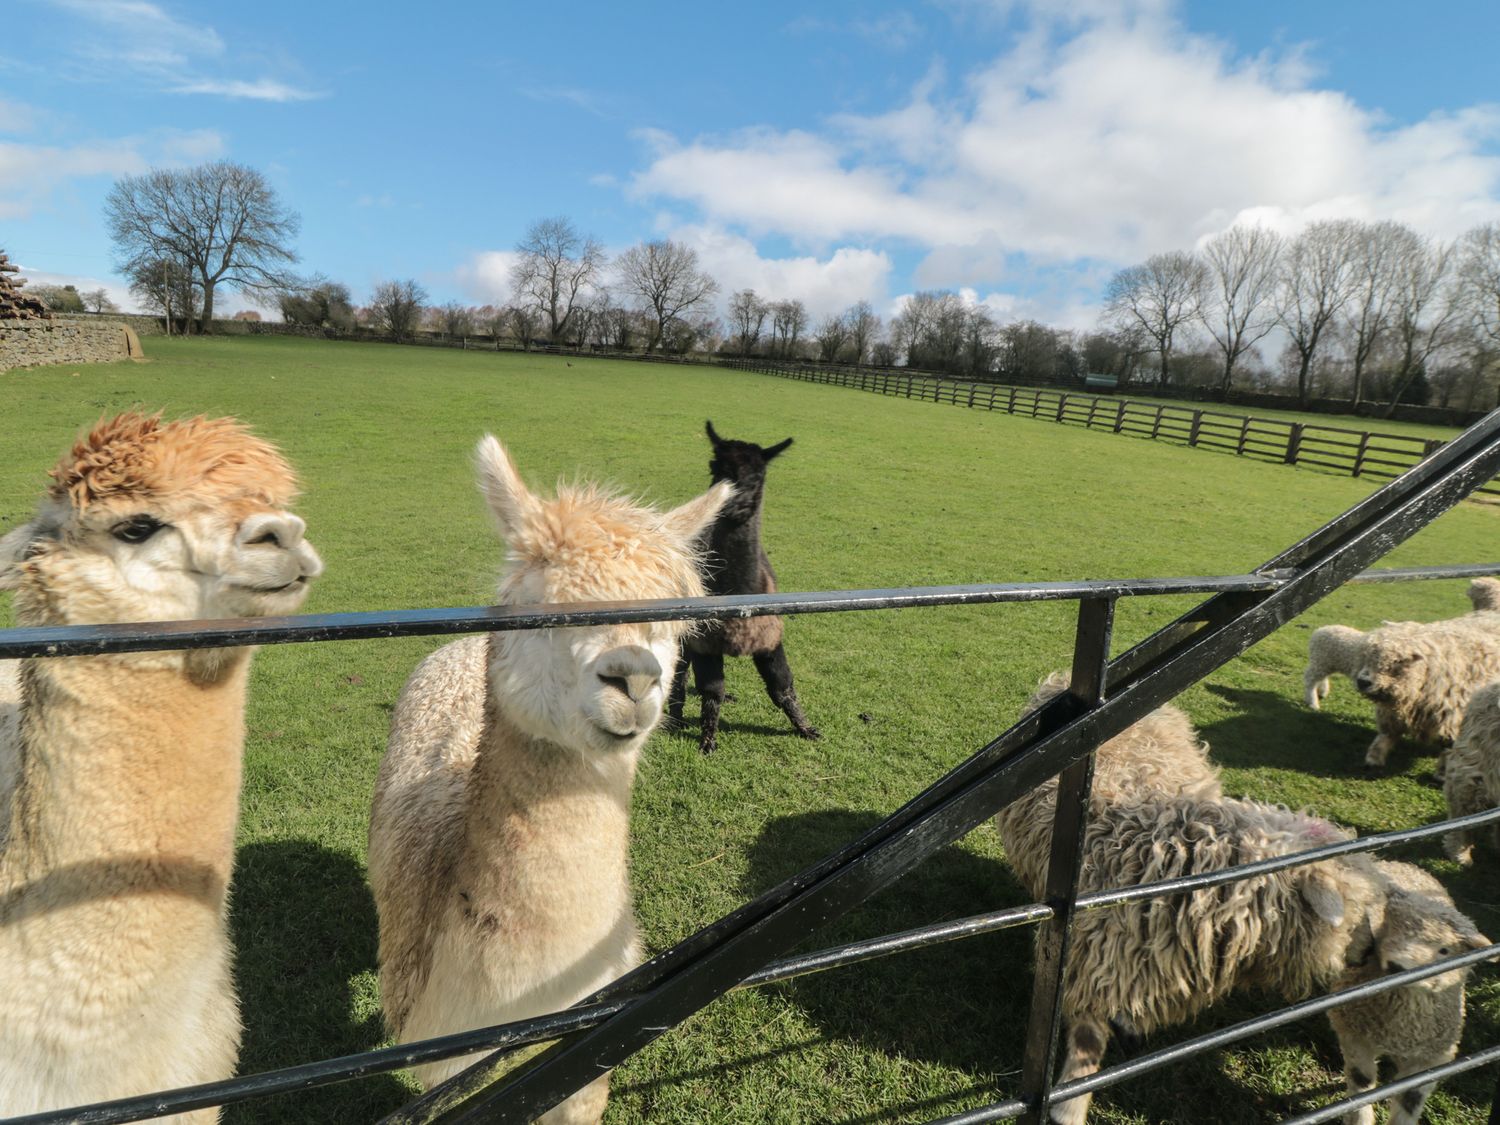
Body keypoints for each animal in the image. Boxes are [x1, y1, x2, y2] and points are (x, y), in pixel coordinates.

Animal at [1328, 860, 1488, 1125]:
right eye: (1389, 927)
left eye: (1444, 950)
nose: (1397, 965)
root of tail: (1399, 863)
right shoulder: (1356, 1036)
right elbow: (1361, 1083)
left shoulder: (1433, 1057)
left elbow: (1410, 1099)